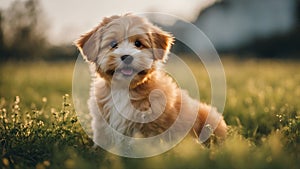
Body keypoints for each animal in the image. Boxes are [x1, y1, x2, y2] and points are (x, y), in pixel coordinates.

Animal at [75, 13, 227, 149]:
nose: (127, 56)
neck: (123, 90)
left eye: (138, 43)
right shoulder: (102, 122)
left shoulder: (152, 125)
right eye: (113, 44)